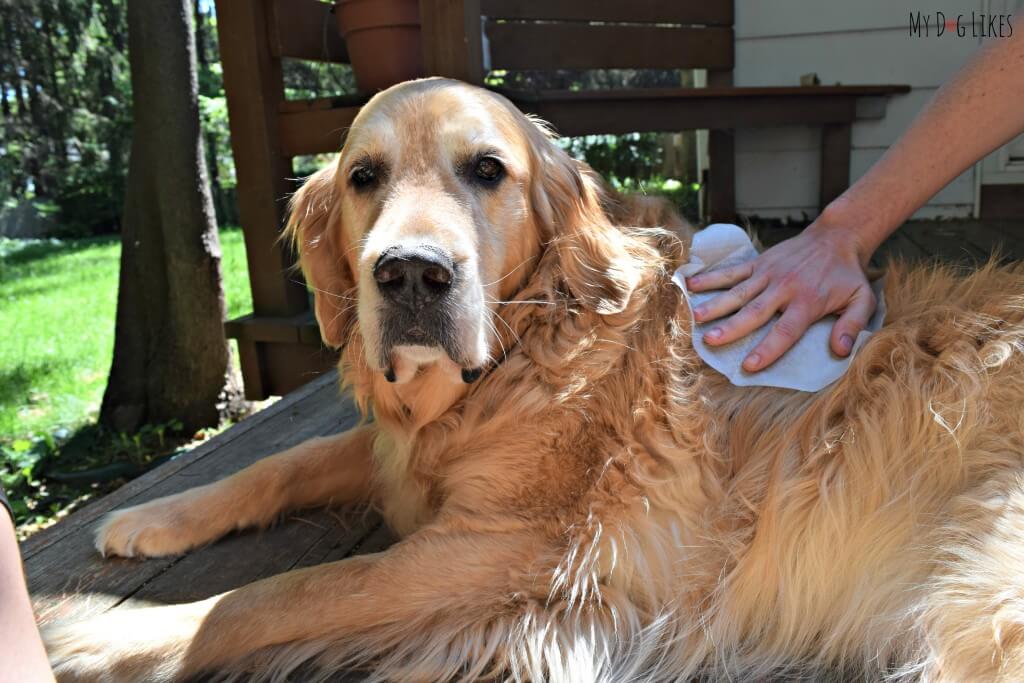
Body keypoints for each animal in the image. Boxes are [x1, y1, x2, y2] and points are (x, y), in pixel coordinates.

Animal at [44, 77, 1024, 679]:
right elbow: (282, 463)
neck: (522, 356)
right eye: (364, 176)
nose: (410, 275)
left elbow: (275, 594)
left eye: (488, 170)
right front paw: (153, 515)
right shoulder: (411, 456)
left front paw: (94, 630)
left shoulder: (501, 549)